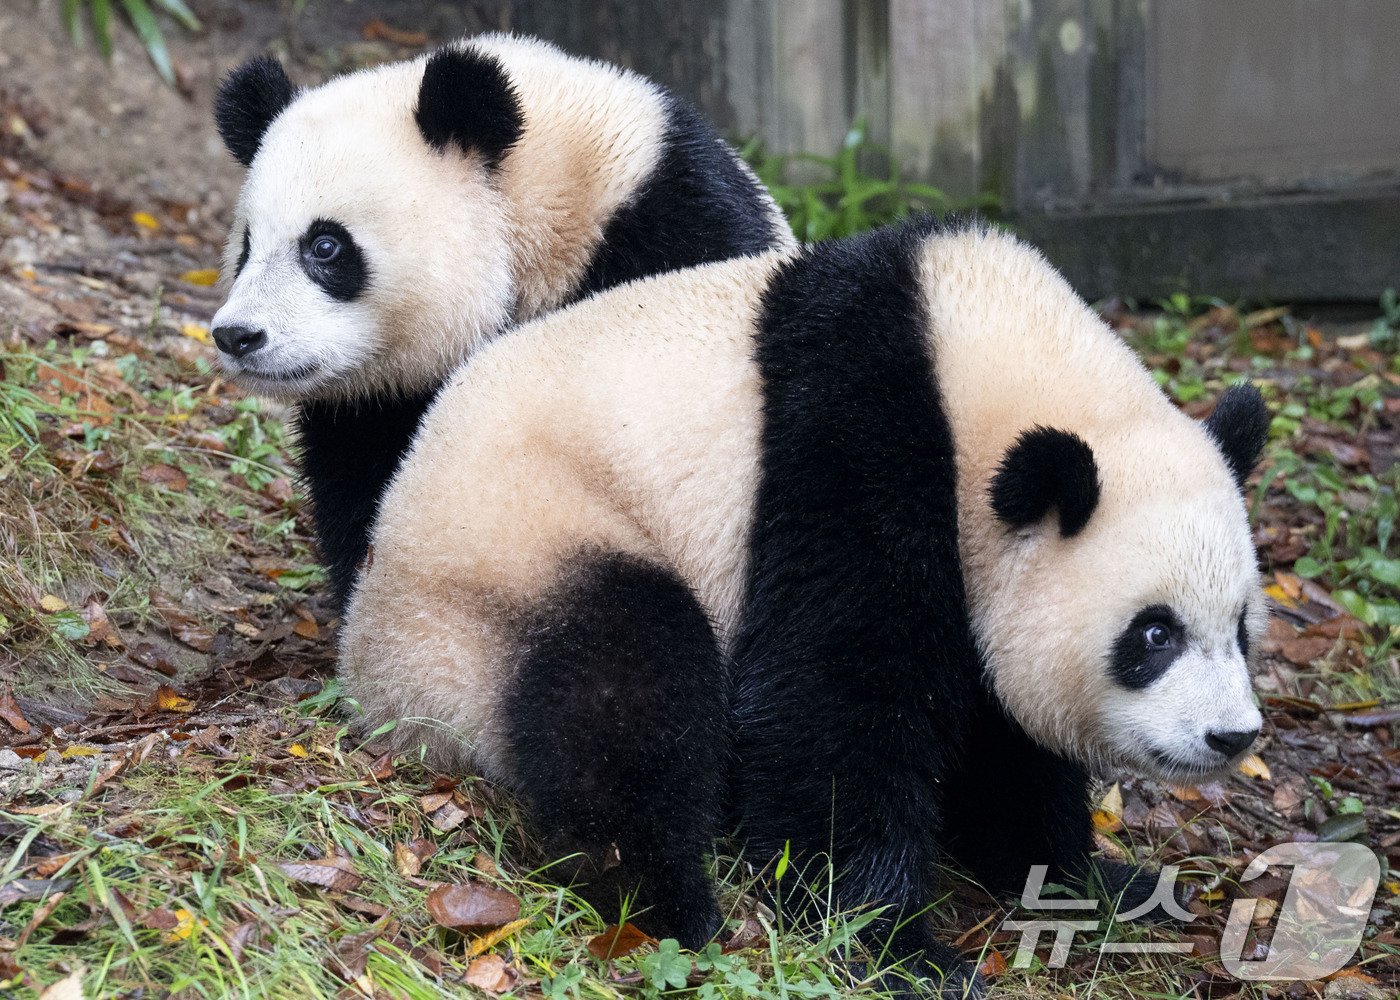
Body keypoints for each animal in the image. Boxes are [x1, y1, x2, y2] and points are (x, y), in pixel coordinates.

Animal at [341, 215, 1282, 991]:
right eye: (1154, 634)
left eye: (1241, 628)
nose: (1230, 736)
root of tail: (371, 672)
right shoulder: (854, 439)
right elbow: (833, 699)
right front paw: (897, 942)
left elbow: (1000, 733)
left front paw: (1089, 880)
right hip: (513, 555)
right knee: (623, 686)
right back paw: (667, 896)